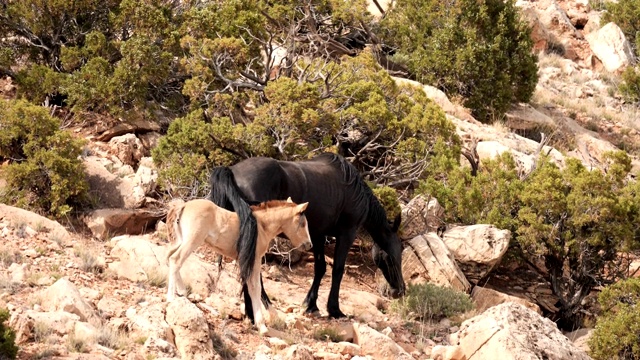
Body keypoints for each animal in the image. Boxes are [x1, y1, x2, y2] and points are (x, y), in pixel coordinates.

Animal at [212, 152, 408, 318]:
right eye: (393, 255)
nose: (400, 290)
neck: (354, 191)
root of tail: (232, 172)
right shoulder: (347, 234)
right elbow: (337, 269)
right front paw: (335, 310)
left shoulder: (318, 234)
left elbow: (320, 268)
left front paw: (311, 304)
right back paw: (264, 303)